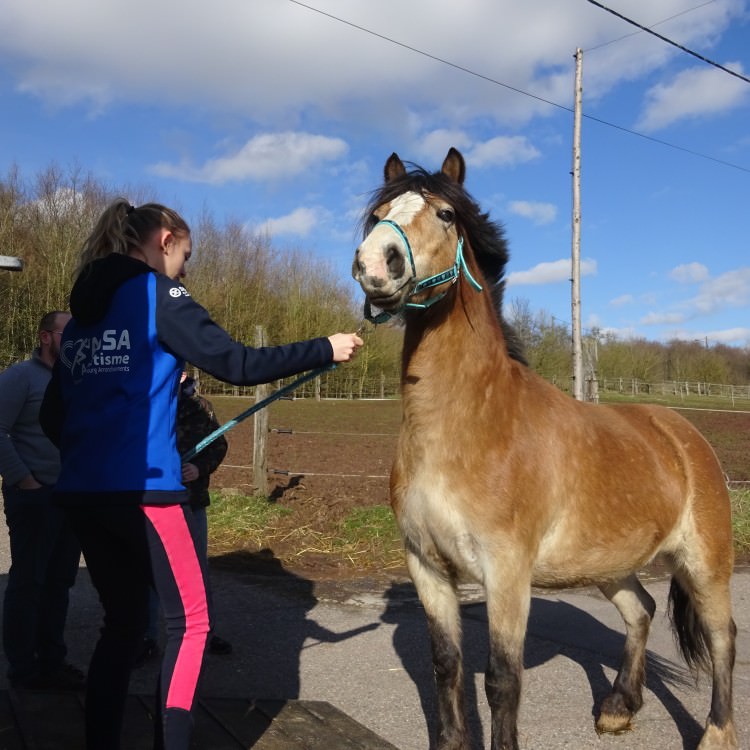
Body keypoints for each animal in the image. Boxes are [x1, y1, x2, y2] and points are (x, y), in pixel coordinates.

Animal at [352, 148, 740, 750]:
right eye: (377, 216)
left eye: (445, 214)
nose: (376, 264)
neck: (471, 425)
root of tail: (683, 433)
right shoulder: (428, 568)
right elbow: (446, 666)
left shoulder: (507, 572)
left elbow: (502, 680)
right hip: (611, 564)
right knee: (642, 610)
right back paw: (618, 708)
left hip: (706, 564)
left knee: (723, 638)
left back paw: (716, 733)